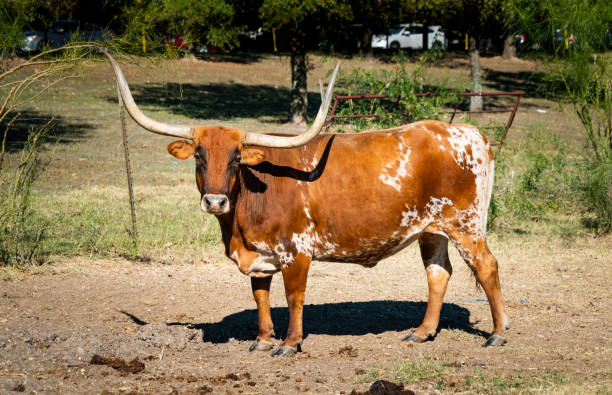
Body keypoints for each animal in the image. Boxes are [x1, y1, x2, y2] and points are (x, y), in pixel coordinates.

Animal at [103, 50, 510, 358]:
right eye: (199, 156)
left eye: (236, 158)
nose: (215, 200)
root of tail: (467, 132)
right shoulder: (260, 253)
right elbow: (261, 296)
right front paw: (262, 339)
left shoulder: (296, 251)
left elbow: (293, 296)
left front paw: (289, 342)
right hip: (432, 229)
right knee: (438, 273)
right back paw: (423, 331)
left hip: (465, 224)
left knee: (487, 266)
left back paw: (498, 333)